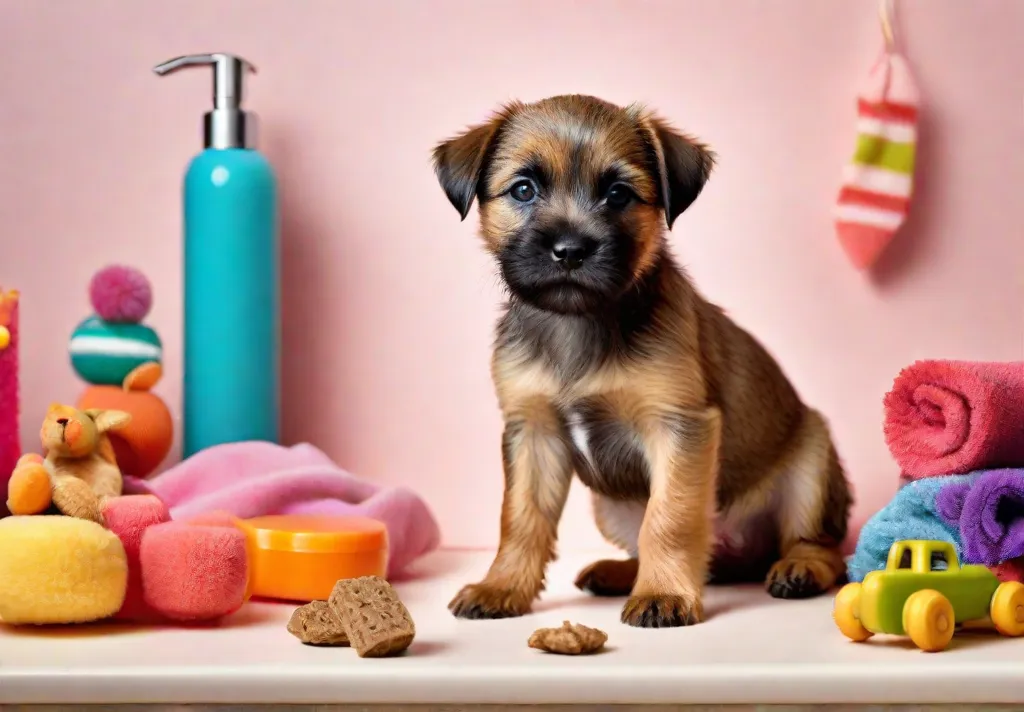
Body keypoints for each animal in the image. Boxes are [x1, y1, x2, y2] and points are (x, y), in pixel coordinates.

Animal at [428, 96, 851, 631]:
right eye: (523, 189)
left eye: (618, 194)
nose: (570, 250)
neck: (581, 323)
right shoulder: (533, 435)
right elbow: (520, 519)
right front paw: (502, 586)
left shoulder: (679, 426)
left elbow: (670, 518)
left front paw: (663, 593)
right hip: (610, 507)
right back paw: (618, 572)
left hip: (813, 460)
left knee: (822, 547)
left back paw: (798, 568)